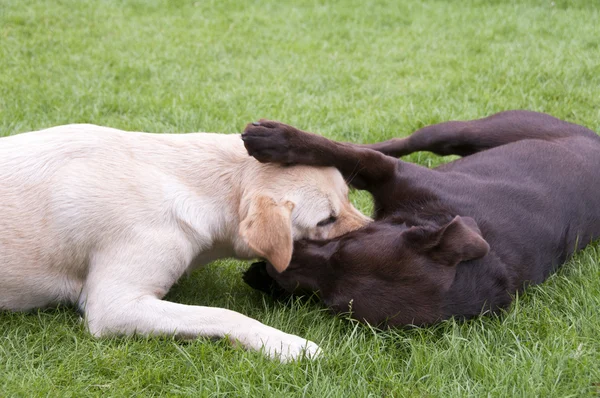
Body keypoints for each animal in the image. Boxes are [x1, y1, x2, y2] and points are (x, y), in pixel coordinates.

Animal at [0, 123, 370, 360]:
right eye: (326, 220)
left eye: (348, 197)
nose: (376, 229)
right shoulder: (113, 306)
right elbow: (225, 314)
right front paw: (286, 345)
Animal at [239, 111, 600, 326]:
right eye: (345, 245)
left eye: (329, 302)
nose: (276, 267)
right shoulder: (392, 173)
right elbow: (352, 155)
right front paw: (278, 139)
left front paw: (263, 277)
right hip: (468, 131)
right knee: (400, 142)